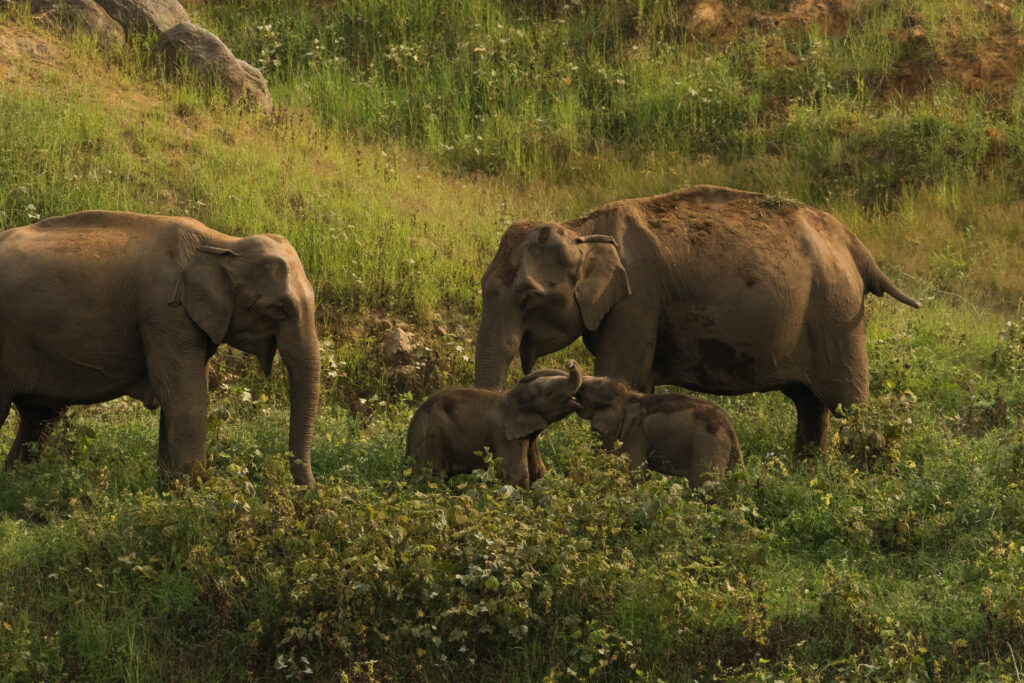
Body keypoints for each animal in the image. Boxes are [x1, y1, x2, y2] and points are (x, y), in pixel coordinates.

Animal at [0, 210, 319, 483]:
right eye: (280, 309)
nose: (309, 492)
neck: (223, 243)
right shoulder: (165, 313)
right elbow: (183, 396)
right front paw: (195, 495)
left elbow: (178, 396)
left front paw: (171, 491)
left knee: (39, 418)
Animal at [407, 360, 585, 489]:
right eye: (549, 392)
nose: (569, 363)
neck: (511, 397)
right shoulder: (504, 437)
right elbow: (515, 475)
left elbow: (538, 471)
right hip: (429, 436)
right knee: (430, 477)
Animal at [475, 184, 925, 456]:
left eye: (530, 296)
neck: (582, 227)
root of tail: (855, 245)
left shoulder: (637, 300)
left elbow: (619, 380)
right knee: (810, 405)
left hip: (837, 314)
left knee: (850, 405)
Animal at [573, 376, 741, 489]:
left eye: (584, 390)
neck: (629, 396)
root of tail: (730, 428)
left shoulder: (636, 433)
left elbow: (632, 472)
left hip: (708, 443)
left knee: (704, 484)